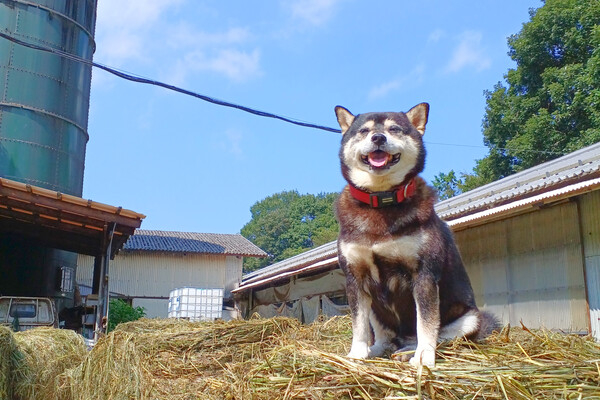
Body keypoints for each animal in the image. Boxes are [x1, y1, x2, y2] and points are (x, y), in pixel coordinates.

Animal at [334, 103, 499, 367]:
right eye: (364, 131)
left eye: (394, 129)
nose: (378, 137)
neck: (381, 202)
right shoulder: (355, 278)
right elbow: (359, 326)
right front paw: (357, 354)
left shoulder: (424, 275)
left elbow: (426, 323)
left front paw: (424, 356)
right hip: (376, 308)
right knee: (384, 335)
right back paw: (379, 348)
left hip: (470, 318)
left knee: (443, 337)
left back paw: (411, 351)